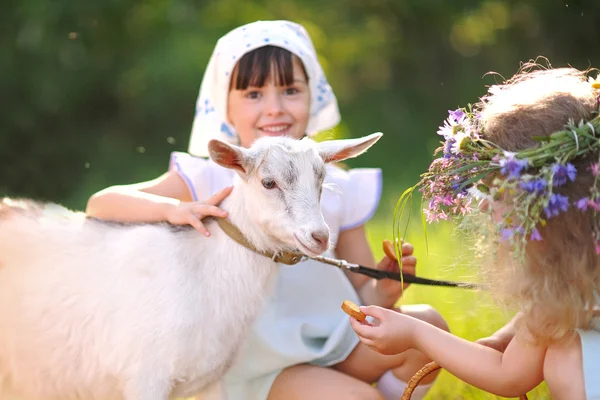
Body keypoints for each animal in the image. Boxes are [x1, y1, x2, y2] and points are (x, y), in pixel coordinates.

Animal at [0, 132, 382, 400]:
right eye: (268, 182)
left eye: (320, 181)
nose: (319, 236)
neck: (202, 269)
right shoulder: (144, 377)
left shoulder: (212, 380)